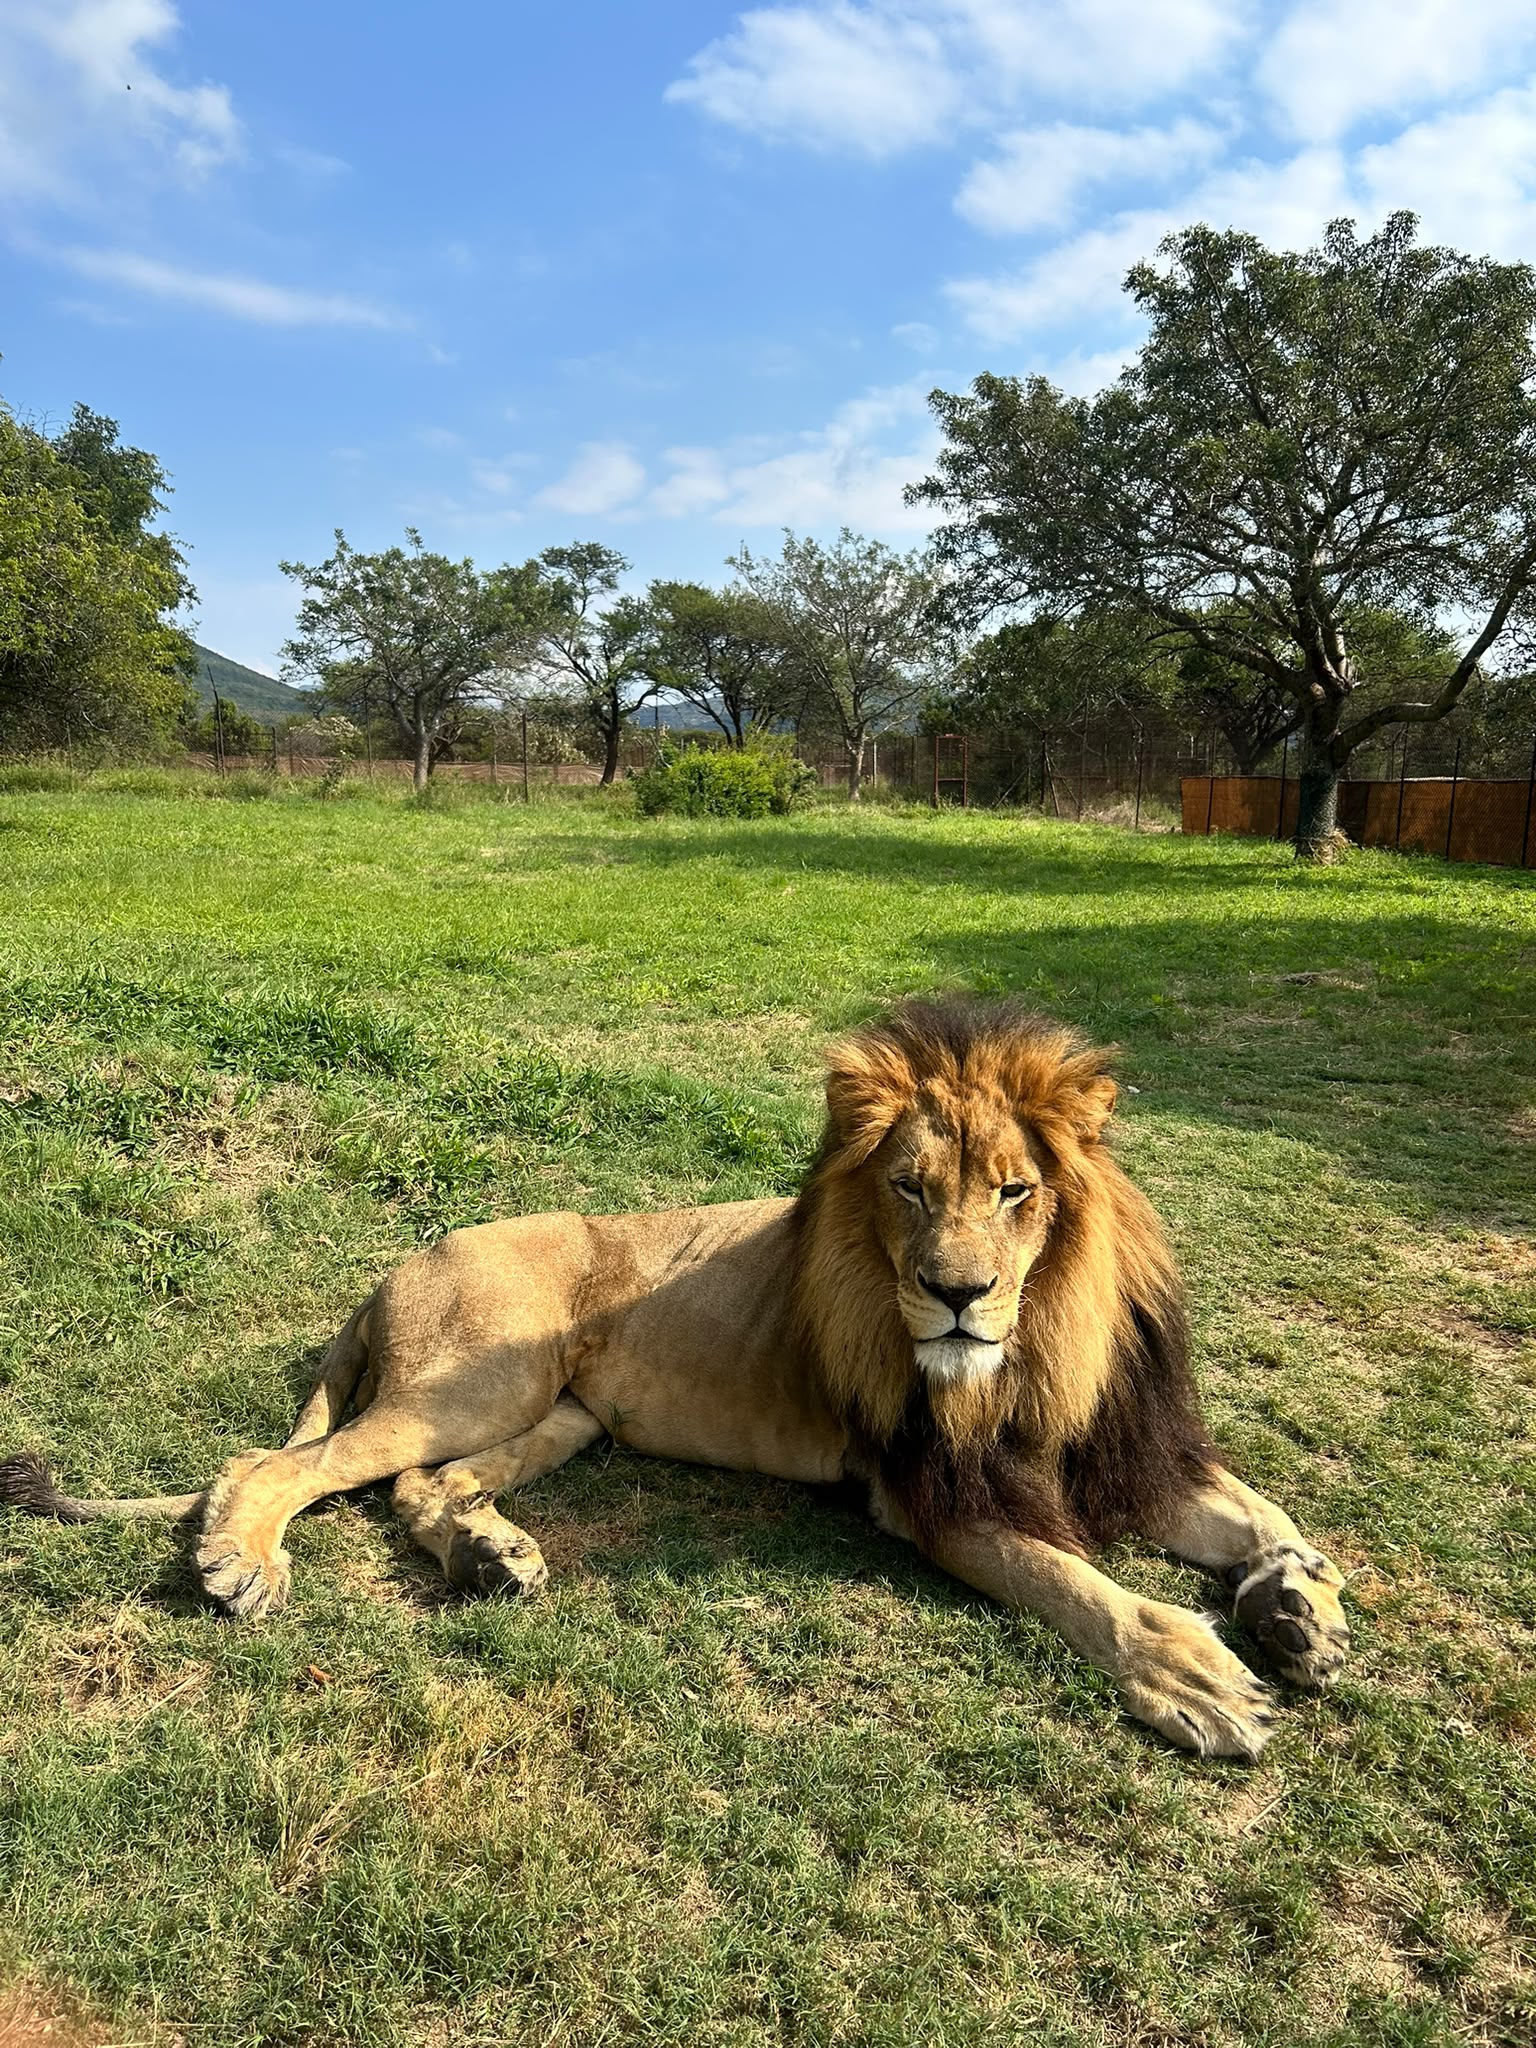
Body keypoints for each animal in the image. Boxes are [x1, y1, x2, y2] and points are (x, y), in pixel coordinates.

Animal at [0, 998, 1350, 1759]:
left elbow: (1263, 1511)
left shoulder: (1129, 1445)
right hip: (476, 1383)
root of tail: (398, 1258)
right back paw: (239, 1559)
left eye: (1018, 1191)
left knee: (420, 1488)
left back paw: (492, 1555)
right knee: (281, 1462)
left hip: (561, 1415)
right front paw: (1191, 1671)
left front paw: (1298, 1601)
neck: (1039, 1348)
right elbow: (1080, 1584)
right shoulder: (926, 1491)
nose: (955, 1293)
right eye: (909, 1189)